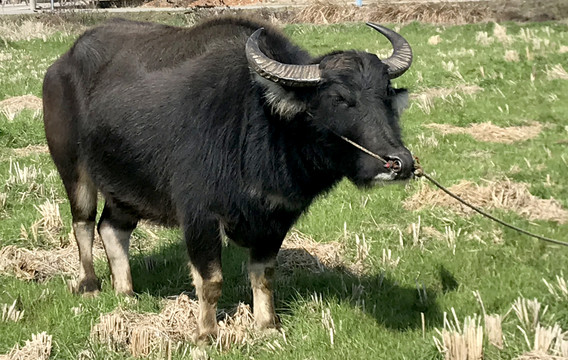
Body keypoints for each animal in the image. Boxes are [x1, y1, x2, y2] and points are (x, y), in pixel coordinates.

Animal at [43, 16, 412, 344]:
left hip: (125, 187)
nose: (399, 163)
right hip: (74, 170)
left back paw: (126, 293)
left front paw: (267, 326)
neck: (261, 122)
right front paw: (206, 334)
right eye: (339, 98)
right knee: (83, 224)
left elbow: (264, 275)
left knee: (112, 228)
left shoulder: (275, 218)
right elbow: (211, 280)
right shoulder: (199, 216)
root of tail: (60, 66)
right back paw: (90, 286)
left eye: (386, 95)